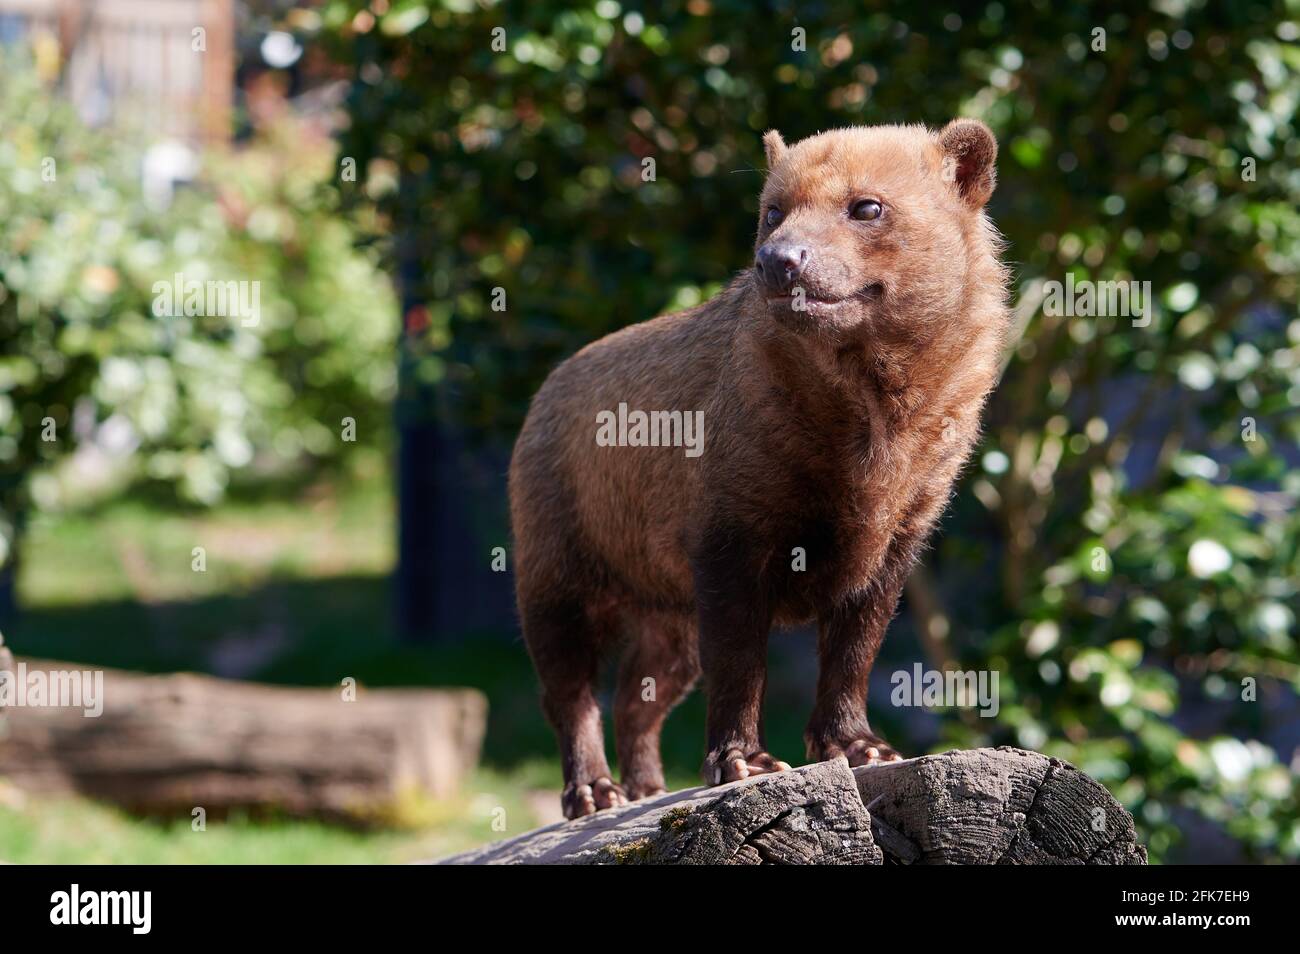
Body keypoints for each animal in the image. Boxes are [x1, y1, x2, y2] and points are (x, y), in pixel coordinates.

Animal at [512, 119, 1008, 821]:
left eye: (867, 205)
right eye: (773, 210)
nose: (778, 260)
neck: (871, 450)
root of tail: (541, 396)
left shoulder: (898, 540)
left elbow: (854, 651)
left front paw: (861, 746)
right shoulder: (732, 531)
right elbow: (741, 660)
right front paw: (743, 760)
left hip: (666, 618)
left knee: (637, 697)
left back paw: (649, 788)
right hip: (555, 579)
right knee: (570, 693)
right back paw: (594, 793)